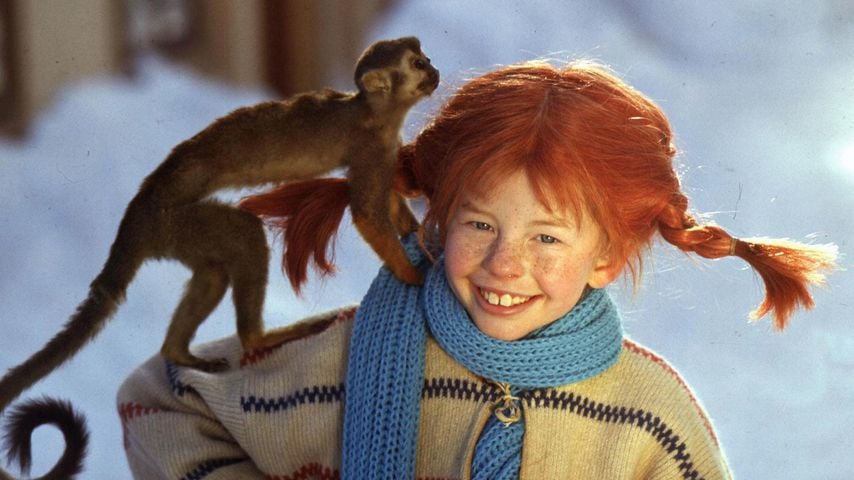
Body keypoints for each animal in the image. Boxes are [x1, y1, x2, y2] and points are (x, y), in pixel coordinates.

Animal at [0, 36, 438, 479]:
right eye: (418, 64)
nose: (434, 72)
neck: (373, 112)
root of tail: (136, 215)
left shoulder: (383, 146)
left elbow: (385, 203)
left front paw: (414, 233)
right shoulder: (369, 147)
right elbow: (366, 211)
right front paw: (412, 274)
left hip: (173, 236)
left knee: (213, 273)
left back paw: (177, 351)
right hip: (172, 222)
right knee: (245, 235)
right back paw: (257, 338)